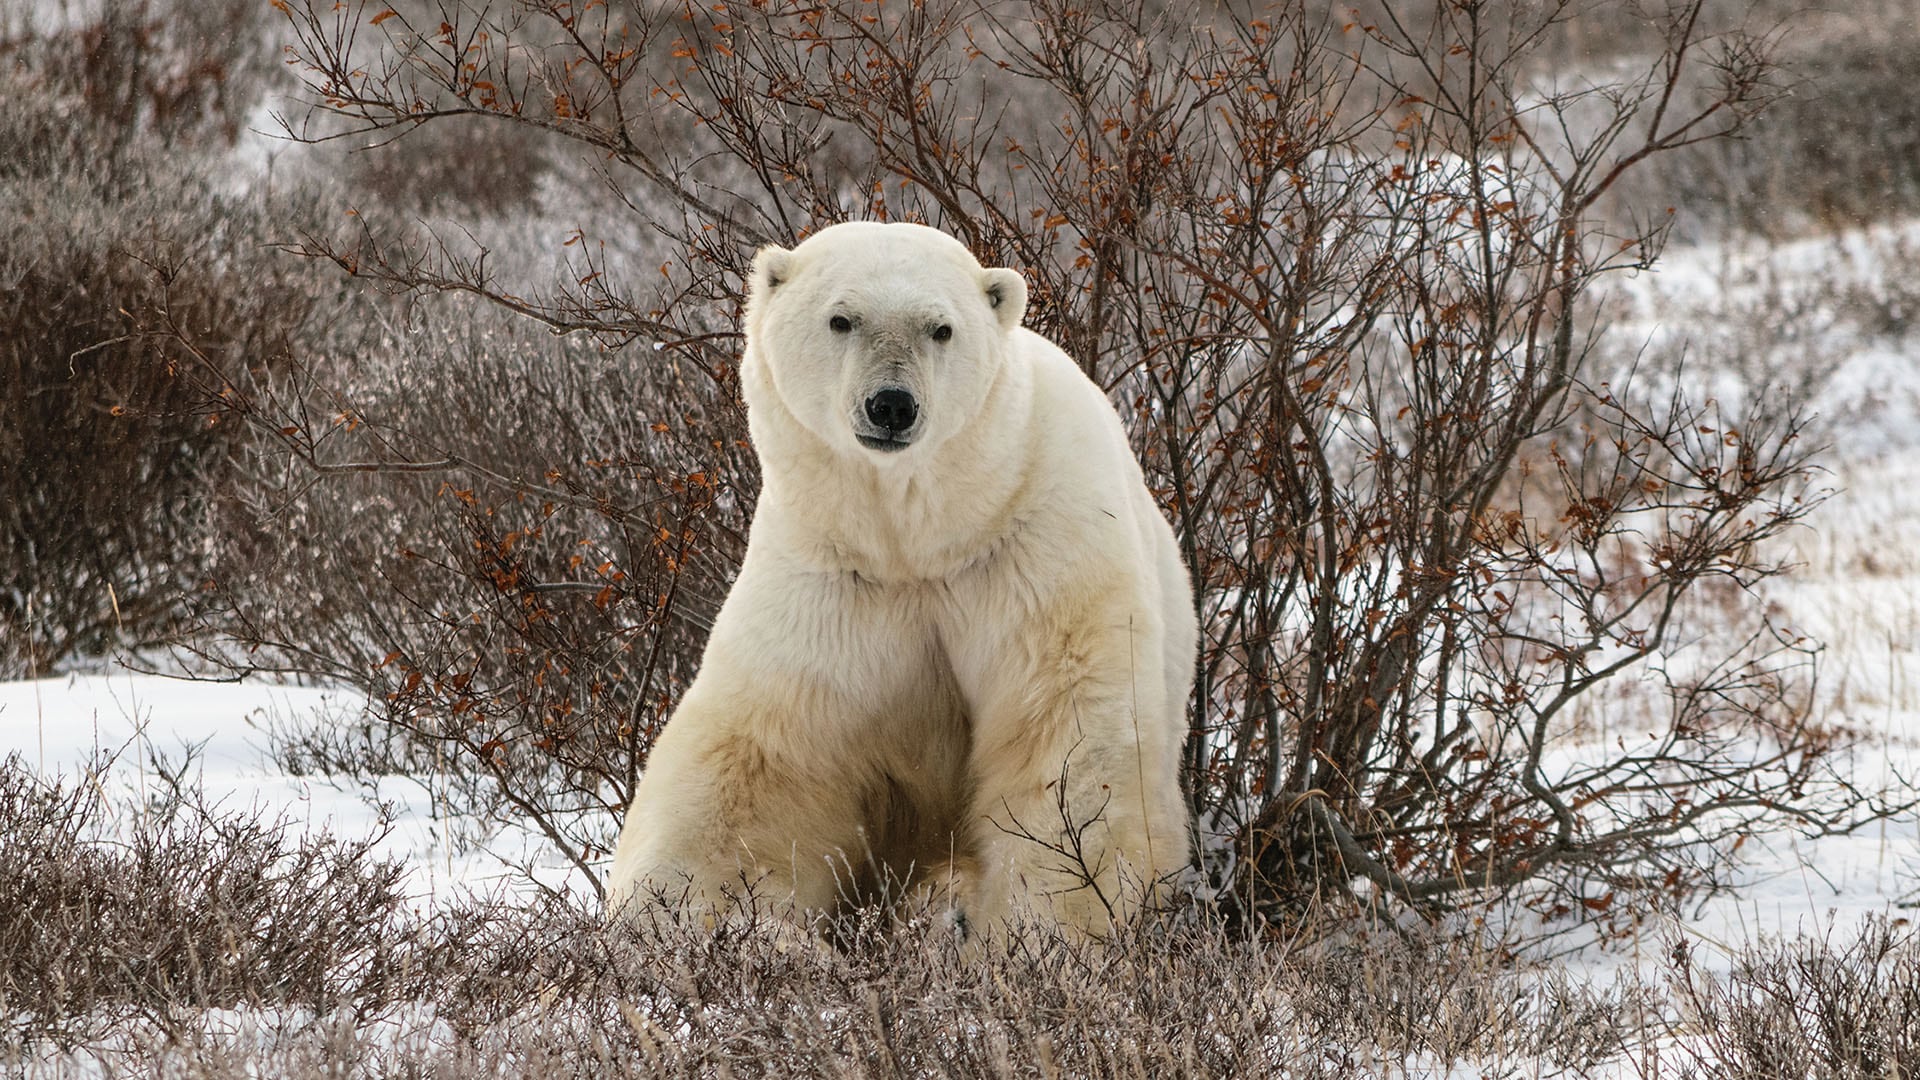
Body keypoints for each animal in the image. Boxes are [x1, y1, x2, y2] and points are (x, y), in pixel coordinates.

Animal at [606, 221, 1196, 939]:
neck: (922, 542)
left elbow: (1066, 735)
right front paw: (680, 914)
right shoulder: (831, 581)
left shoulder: (1038, 550)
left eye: (940, 328)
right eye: (841, 318)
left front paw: (1043, 928)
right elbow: (759, 762)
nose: (891, 405)